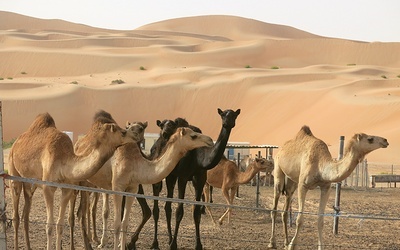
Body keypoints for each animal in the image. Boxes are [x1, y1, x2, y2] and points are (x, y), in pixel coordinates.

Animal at [8, 111, 134, 250]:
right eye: (123, 132)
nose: (135, 138)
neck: (63, 160)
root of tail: (15, 143)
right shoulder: (48, 188)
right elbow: (49, 226)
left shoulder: (67, 188)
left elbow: (60, 224)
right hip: (13, 172)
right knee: (15, 215)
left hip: (30, 183)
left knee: (26, 213)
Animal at [128, 108, 241, 250]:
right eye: (223, 115)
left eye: (234, 115)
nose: (227, 123)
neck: (199, 157)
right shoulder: (182, 177)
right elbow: (179, 212)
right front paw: (174, 245)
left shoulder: (200, 179)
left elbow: (196, 213)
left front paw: (198, 245)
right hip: (161, 174)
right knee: (158, 208)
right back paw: (155, 243)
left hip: (171, 176)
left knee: (167, 207)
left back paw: (169, 239)